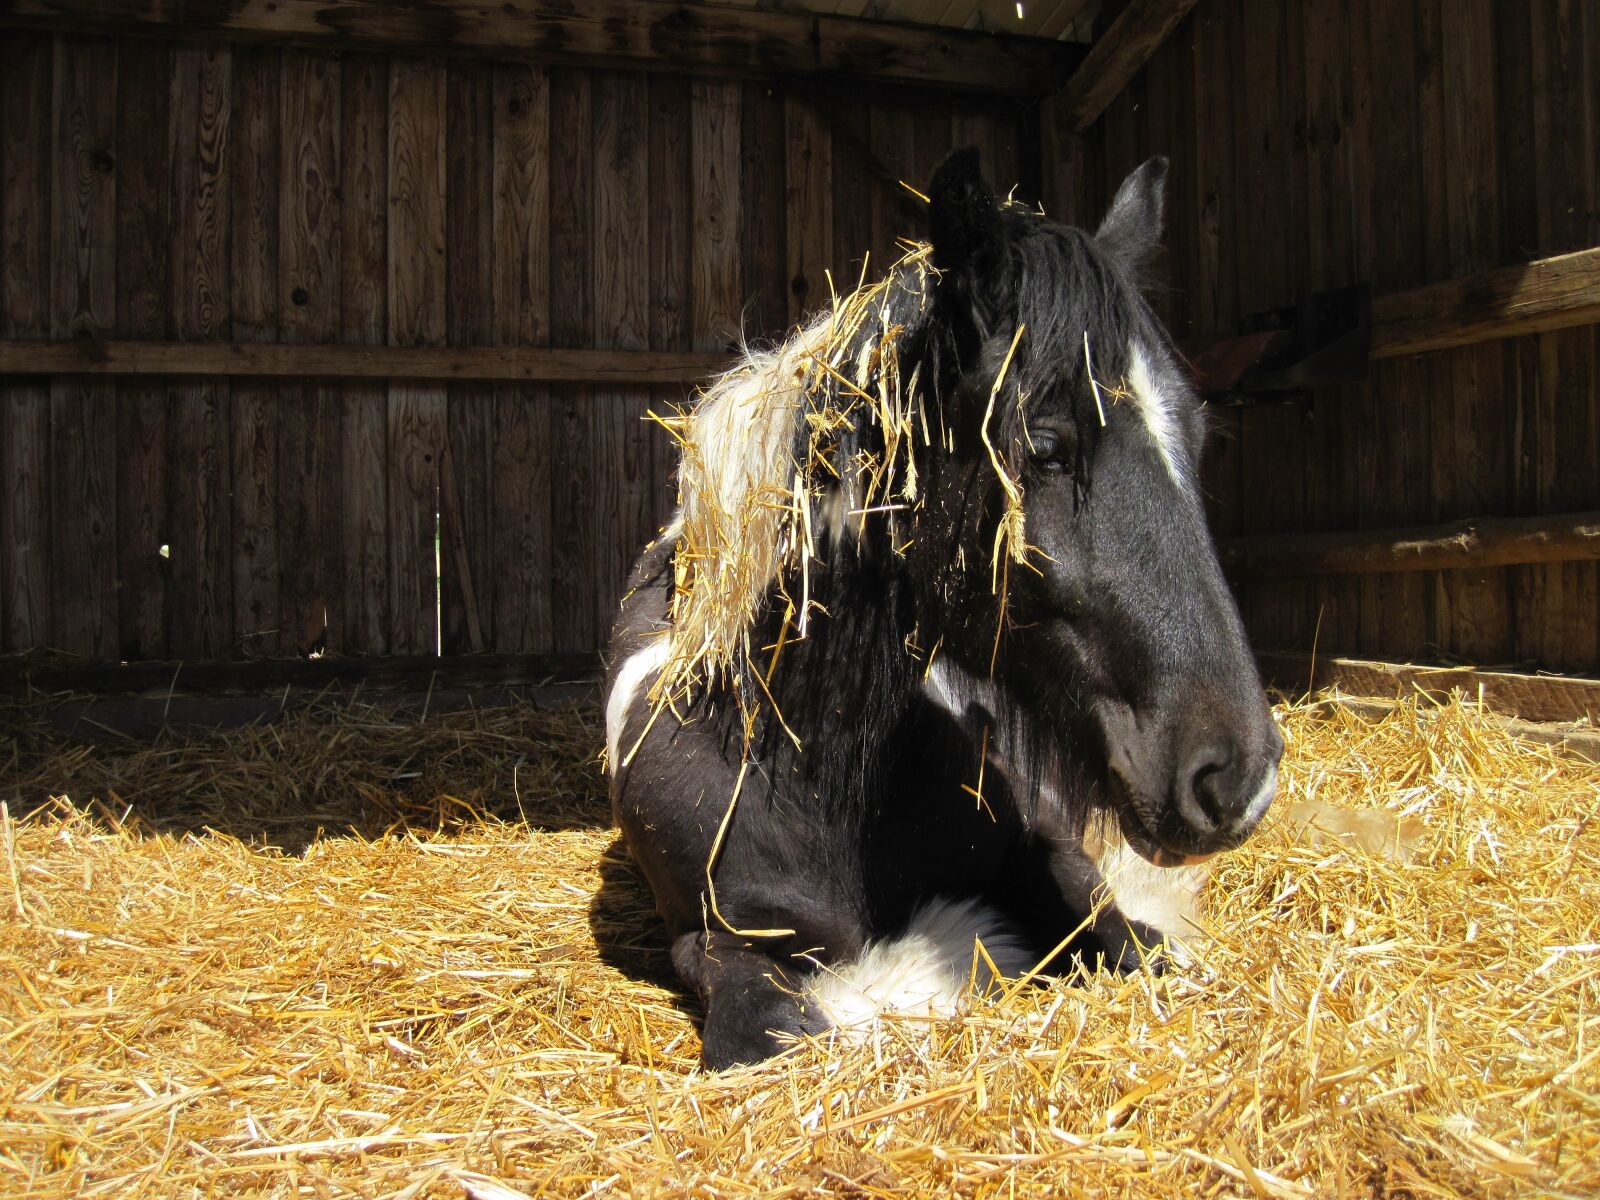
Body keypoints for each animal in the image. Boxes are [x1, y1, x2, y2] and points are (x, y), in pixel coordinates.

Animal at [604, 150, 1280, 1068]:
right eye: (1047, 446)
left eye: (1199, 438)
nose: (1238, 777)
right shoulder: (716, 947)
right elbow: (777, 1023)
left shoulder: (1050, 850)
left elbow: (1128, 942)